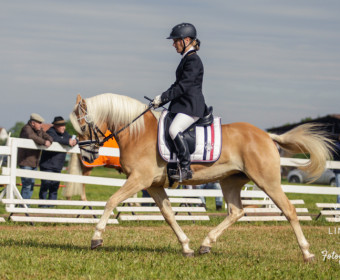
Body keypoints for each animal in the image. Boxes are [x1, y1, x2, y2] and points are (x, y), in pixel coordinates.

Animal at [70, 93, 334, 262]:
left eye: (82, 127)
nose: (87, 155)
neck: (137, 133)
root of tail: (268, 136)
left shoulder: (139, 180)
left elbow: (112, 201)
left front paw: (96, 238)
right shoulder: (153, 185)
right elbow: (168, 215)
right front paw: (186, 247)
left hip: (267, 181)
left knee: (289, 210)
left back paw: (307, 253)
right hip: (230, 181)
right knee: (236, 211)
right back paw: (205, 244)